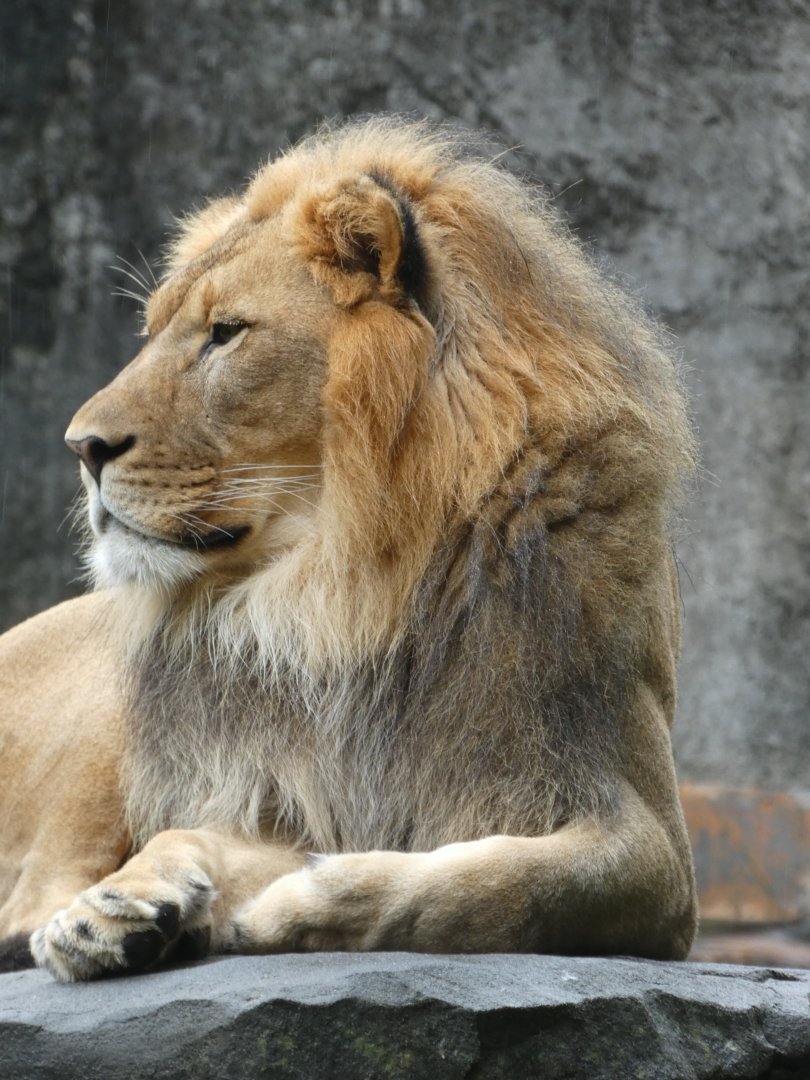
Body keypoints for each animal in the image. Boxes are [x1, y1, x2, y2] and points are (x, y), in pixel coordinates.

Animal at [0, 117, 697, 982]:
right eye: (155, 334)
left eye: (224, 334)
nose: (82, 447)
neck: (349, 591)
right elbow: (203, 834)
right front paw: (119, 905)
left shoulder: (648, 839)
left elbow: (500, 883)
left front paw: (296, 905)